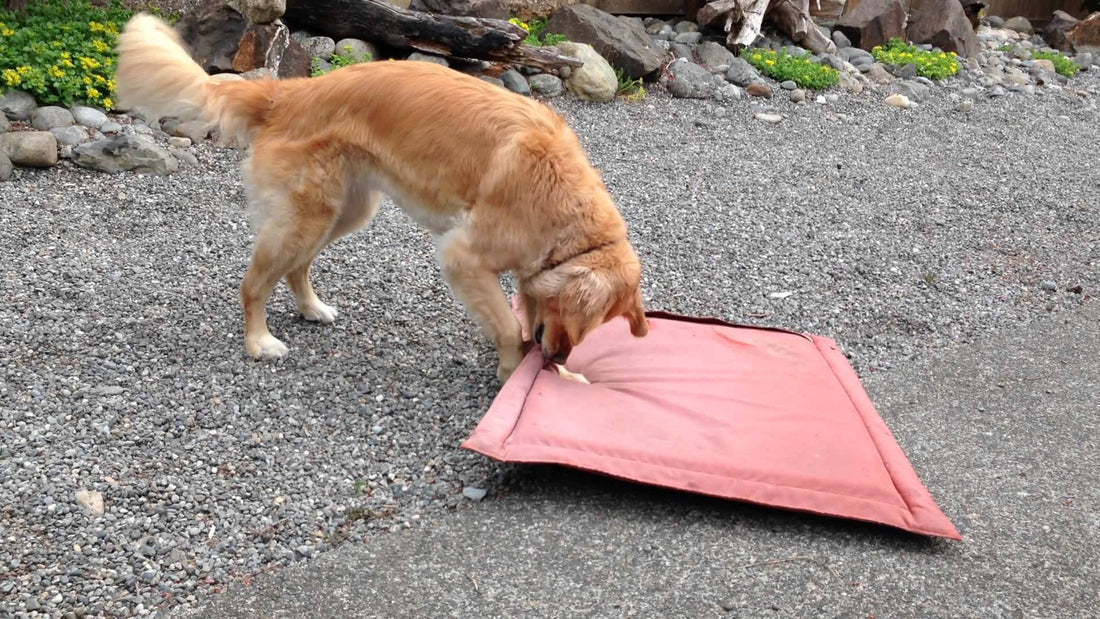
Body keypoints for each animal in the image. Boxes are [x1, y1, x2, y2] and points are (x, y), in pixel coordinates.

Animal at [113, 13, 642, 382]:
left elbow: (523, 314)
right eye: (576, 319)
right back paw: (259, 342)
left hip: (343, 212)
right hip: (306, 217)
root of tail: (285, 94)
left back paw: (312, 309)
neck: (564, 203)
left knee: (297, 269)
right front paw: (512, 371)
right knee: (254, 283)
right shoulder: (464, 257)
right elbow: (511, 327)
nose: (557, 358)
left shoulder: (522, 269)